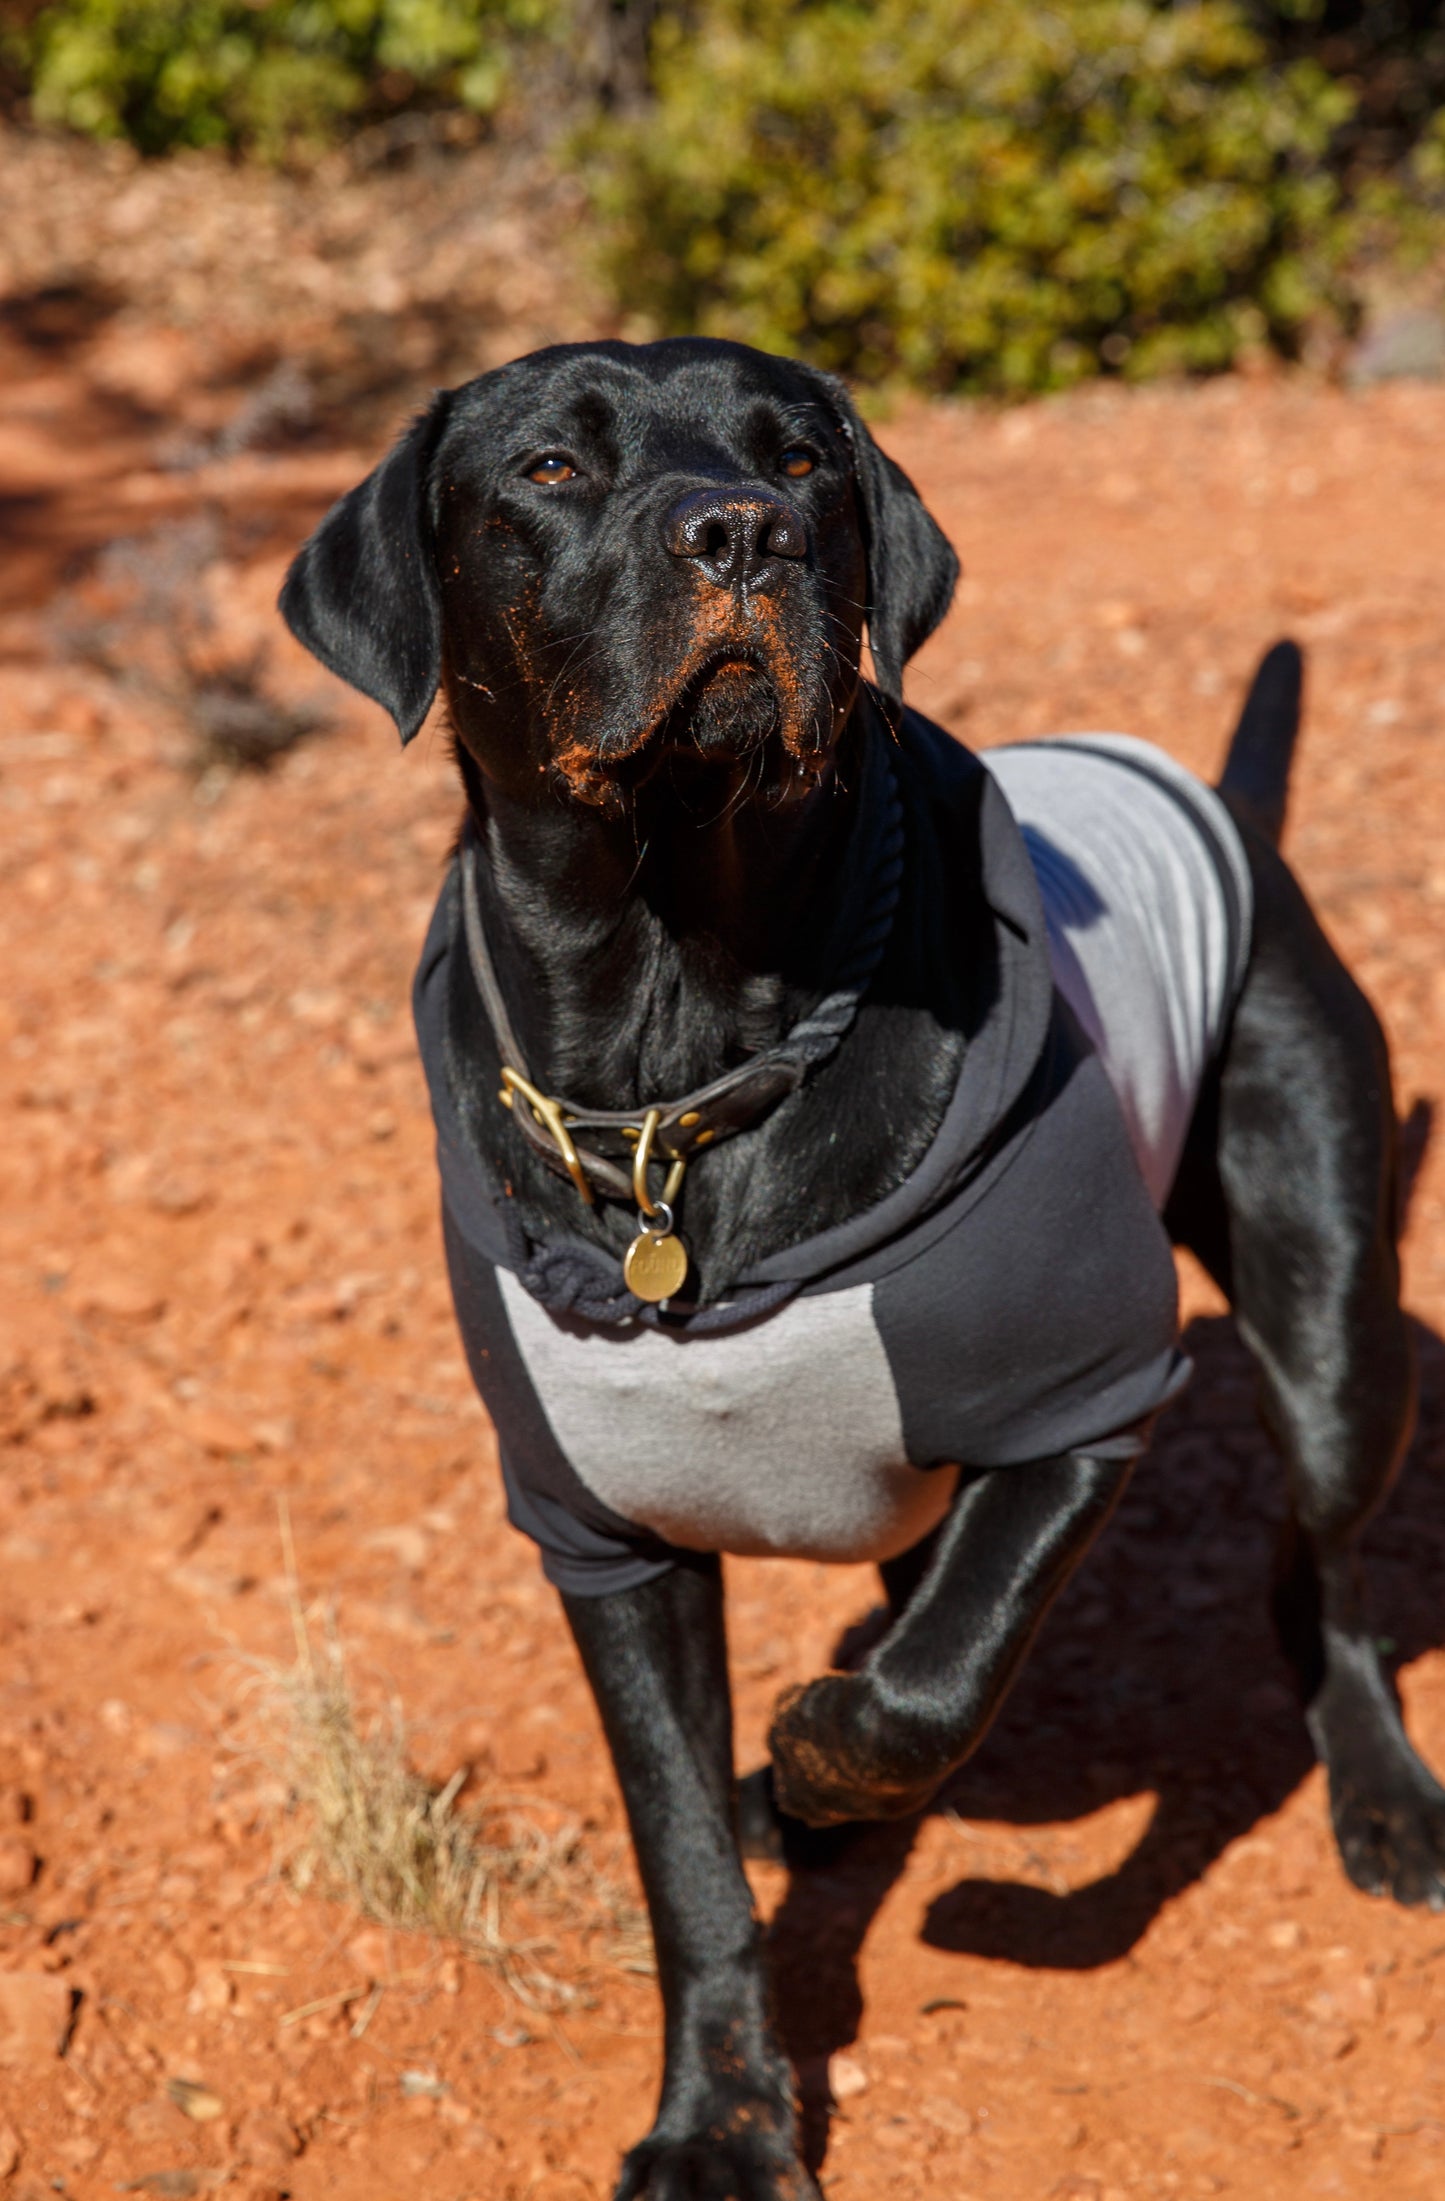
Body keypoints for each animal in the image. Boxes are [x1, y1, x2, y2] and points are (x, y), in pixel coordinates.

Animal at [281, 334, 1442, 2192]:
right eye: (548, 468)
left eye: (806, 461)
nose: (741, 531)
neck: (685, 1039)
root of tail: (1210, 793)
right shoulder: (600, 1529)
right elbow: (684, 1842)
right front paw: (722, 2118)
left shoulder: (1086, 1396)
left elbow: (933, 1681)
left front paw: (822, 1761)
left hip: (1331, 1298)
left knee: (1319, 1569)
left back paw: (1384, 1792)